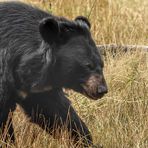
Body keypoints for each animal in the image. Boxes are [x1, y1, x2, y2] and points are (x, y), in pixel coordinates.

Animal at [0, 1, 107, 147]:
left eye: (102, 64)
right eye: (87, 65)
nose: (102, 89)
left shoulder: (37, 91)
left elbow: (56, 114)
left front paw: (84, 140)